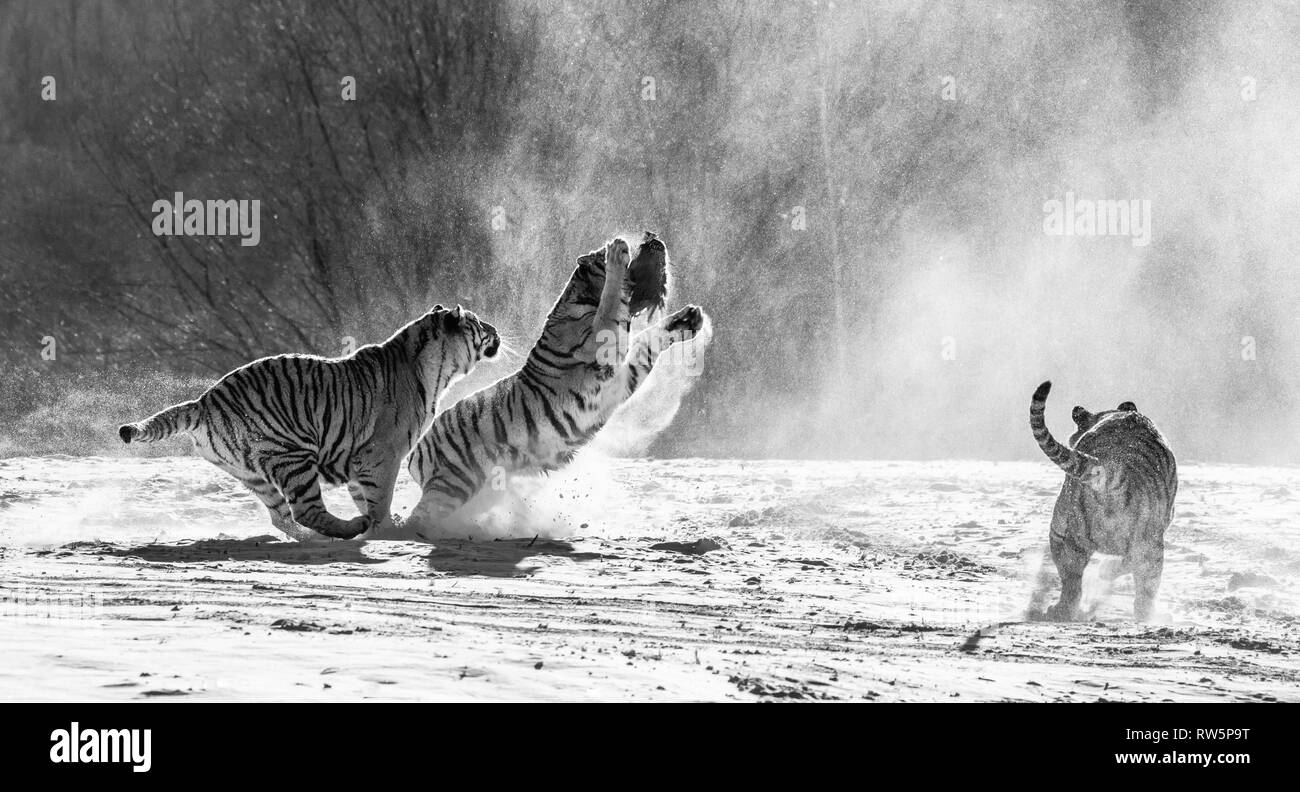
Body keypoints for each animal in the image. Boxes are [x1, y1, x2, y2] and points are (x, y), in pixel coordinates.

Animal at [115, 305, 496, 541]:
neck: (436, 370)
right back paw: (348, 528)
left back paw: (317, 538)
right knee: (305, 510)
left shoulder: (358, 459)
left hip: (254, 473)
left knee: (282, 516)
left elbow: (364, 495)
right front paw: (386, 529)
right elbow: (379, 498)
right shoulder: (380, 454)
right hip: (293, 456)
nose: (496, 330)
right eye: (479, 323)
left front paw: (386, 525)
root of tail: (204, 400)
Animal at [382, 228, 707, 538]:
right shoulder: (604, 340)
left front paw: (689, 320)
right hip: (453, 482)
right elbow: (613, 304)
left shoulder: (622, 376)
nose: (649, 240)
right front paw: (616, 252)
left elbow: (648, 341)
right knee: (418, 518)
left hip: (477, 489)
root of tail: (417, 449)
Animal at [1024, 379, 1180, 621]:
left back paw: (1062, 611)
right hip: (1146, 546)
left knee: (1072, 583)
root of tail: (1115, 470)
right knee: (1142, 593)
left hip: (1077, 537)